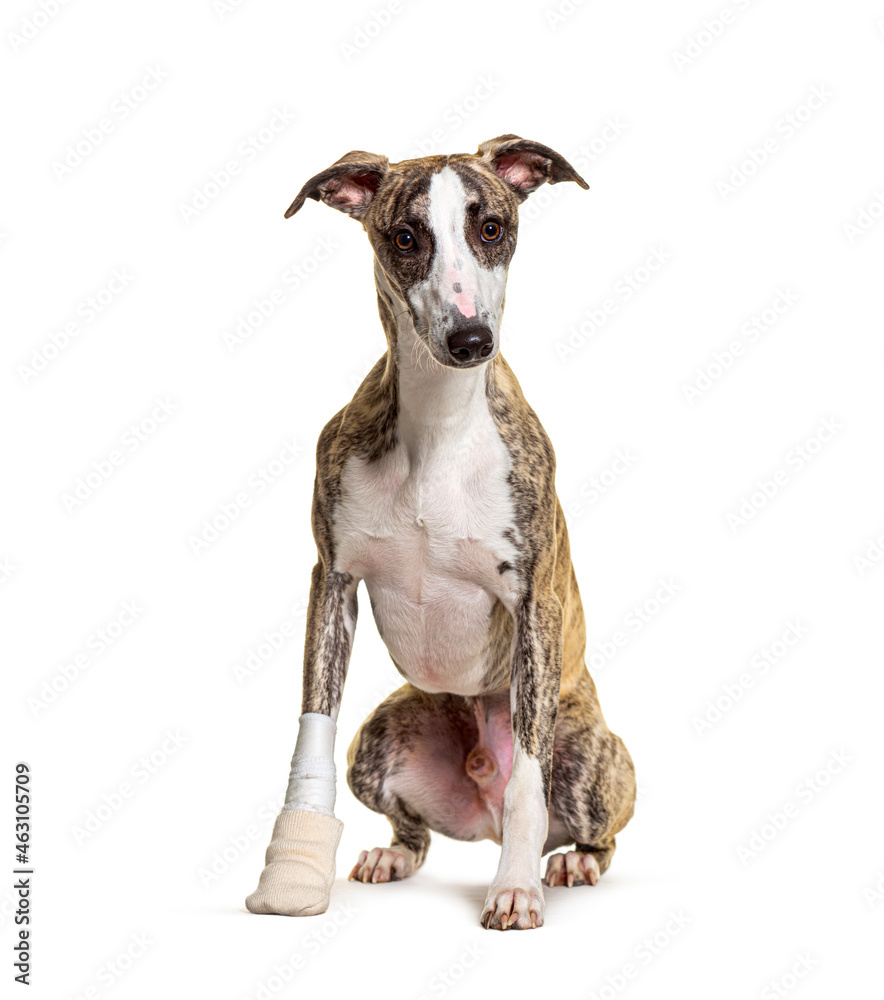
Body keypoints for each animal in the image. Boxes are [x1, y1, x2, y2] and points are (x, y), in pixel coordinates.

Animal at [247, 133, 636, 928]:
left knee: (586, 823)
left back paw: (567, 862)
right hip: (380, 739)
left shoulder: (534, 604)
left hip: (595, 760)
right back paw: (392, 854)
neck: (439, 425)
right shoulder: (332, 580)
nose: (470, 338)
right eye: (405, 238)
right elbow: (313, 725)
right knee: (415, 828)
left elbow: (529, 784)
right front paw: (289, 878)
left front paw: (515, 889)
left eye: (491, 227)